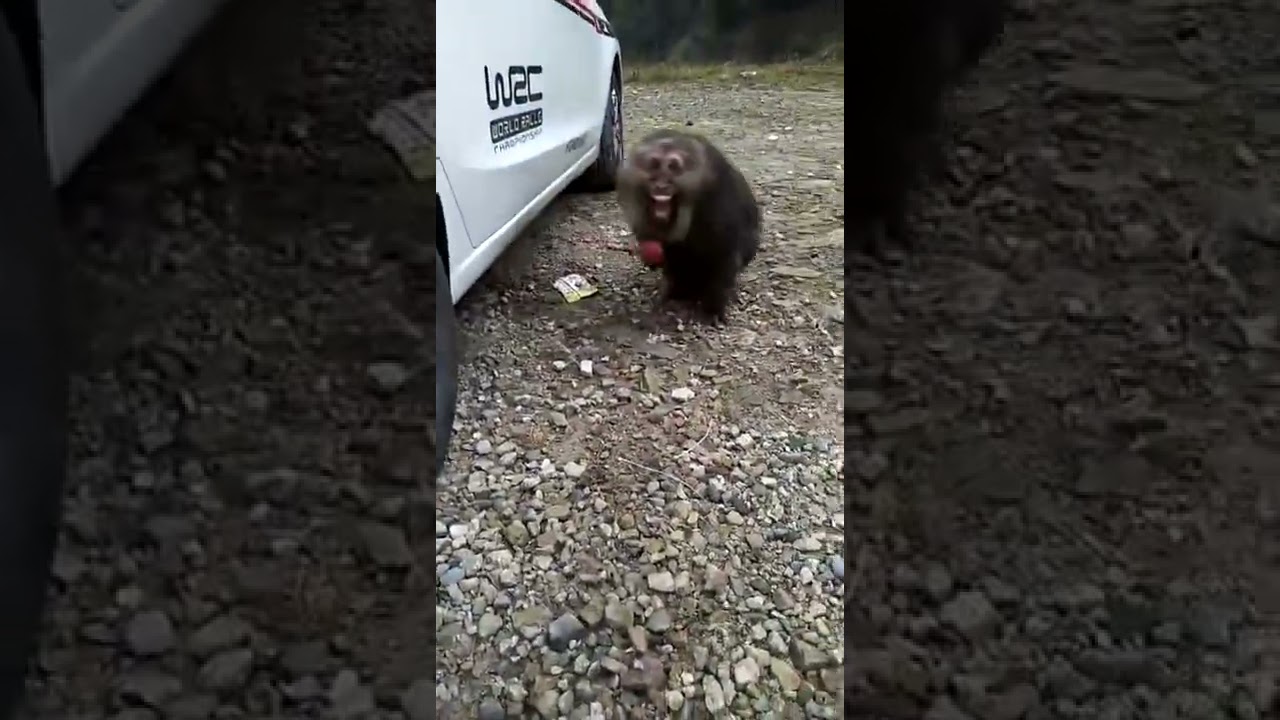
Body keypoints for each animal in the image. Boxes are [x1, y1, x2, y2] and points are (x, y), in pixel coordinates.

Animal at [616, 129, 761, 323]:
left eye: (673, 166)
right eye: (654, 165)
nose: (661, 185)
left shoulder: (717, 201)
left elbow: (724, 255)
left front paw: (714, 308)